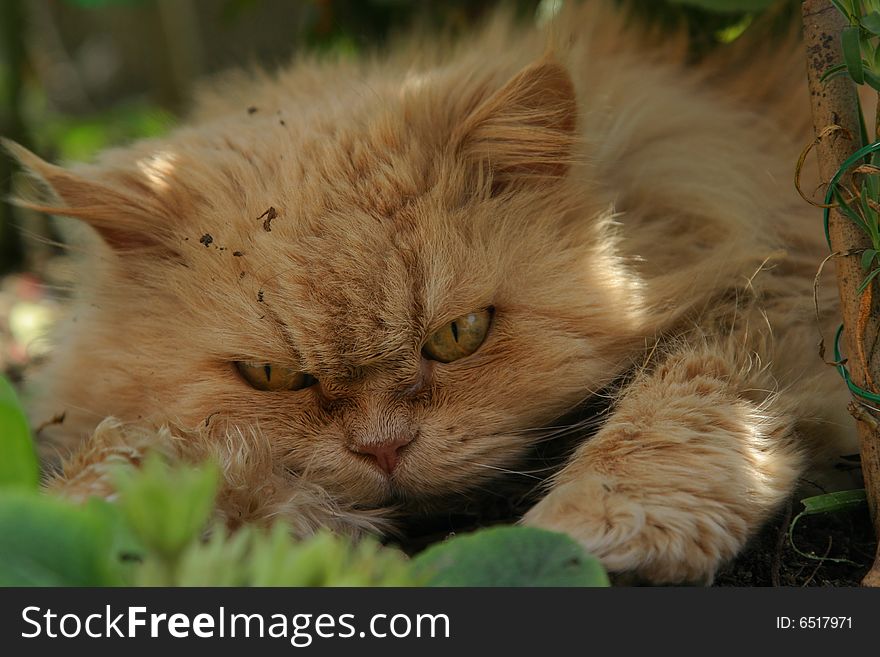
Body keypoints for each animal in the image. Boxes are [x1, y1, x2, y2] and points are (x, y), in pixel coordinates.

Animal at [5, 1, 860, 584]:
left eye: (460, 334)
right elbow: (136, 457)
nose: (383, 449)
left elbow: (684, 396)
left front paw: (597, 530)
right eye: (272, 376)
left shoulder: (791, 286)